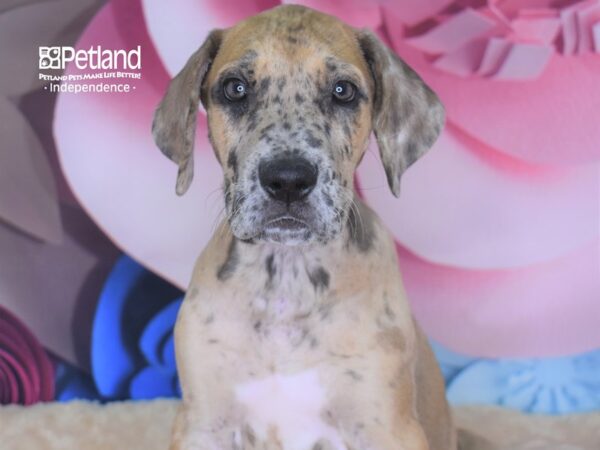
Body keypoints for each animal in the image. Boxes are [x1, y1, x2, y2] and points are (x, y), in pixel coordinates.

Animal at [152, 4, 458, 450]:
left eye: (343, 91)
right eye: (235, 89)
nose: (288, 180)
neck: (287, 275)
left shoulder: (386, 426)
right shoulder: (203, 423)